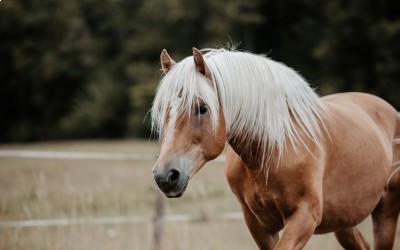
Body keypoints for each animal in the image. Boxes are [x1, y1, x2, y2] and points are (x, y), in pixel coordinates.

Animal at [150, 47, 400, 250]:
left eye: (202, 108)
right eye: (162, 109)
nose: (165, 176)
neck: (271, 152)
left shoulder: (304, 217)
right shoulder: (258, 224)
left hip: (386, 211)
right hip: (344, 221)